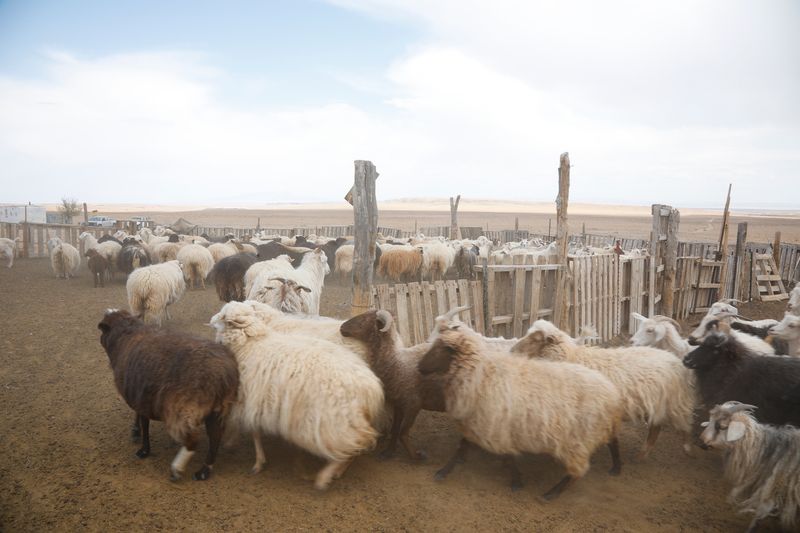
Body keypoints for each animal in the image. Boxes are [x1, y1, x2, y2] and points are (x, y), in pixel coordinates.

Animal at [98, 309, 239, 481]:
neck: (126, 336)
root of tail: (224, 372)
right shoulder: (140, 396)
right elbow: (139, 418)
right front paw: (136, 431)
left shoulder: (140, 398)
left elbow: (144, 423)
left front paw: (144, 450)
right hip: (218, 409)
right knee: (215, 437)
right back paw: (204, 470)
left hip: (184, 408)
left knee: (193, 440)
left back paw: (177, 469)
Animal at [210, 301, 384, 490]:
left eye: (223, 317)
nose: (211, 321)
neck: (252, 343)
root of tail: (372, 389)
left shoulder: (251, 399)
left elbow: (254, 432)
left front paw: (257, 461)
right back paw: (338, 470)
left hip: (332, 423)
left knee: (359, 441)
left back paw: (325, 476)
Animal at [340, 309, 442, 460]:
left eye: (364, 320)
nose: (341, 328)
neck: (395, 362)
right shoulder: (397, 404)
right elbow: (395, 429)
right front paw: (388, 452)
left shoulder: (413, 404)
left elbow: (403, 433)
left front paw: (416, 456)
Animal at [418, 318, 623, 499]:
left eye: (439, 349)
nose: (419, 367)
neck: (480, 374)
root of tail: (611, 391)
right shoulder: (482, 422)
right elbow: (462, 447)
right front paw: (444, 470)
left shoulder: (496, 426)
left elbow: (507, 457)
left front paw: (516, 482)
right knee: (612, 441)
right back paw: (616, 467)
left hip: (577, 441)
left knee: (577, 472)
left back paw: (551, 494)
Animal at [511, 320, 697, 458]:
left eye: (535, 338)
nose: (512, 351)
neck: (574, 357)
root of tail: (675, 361)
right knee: (656, 428)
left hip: (673, 402)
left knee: (678, 425)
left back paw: (684, 449)